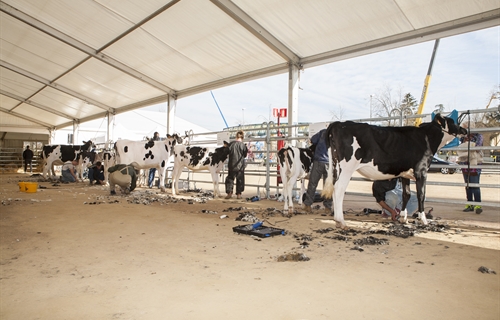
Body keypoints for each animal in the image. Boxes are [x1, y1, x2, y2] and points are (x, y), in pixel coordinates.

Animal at [322, 114, 466, 229]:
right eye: (453, 121)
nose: (464, 130)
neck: (426, 138)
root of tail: (338, 123)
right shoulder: (421, 171)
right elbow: (421, 195)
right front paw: (423, 220)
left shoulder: (405, 173)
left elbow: (406, 194)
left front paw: (403, 218)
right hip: (347, 167)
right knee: (339, 189)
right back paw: (341, 221)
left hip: (336, 166)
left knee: (334, 187)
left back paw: (337, 220)